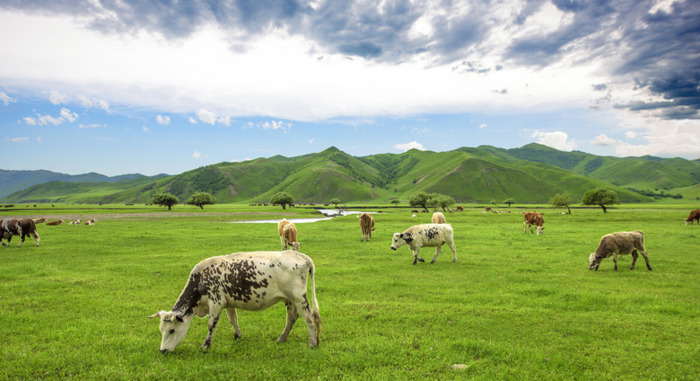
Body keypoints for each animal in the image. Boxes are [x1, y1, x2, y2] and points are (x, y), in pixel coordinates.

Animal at [150, 249, 322, 354]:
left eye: (171, 330)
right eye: (161, 330)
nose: (162, 351)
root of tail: (300, 256)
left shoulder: (216, 302)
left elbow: (211, 324)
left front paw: (205, 345)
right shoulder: (228, 303)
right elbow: (233, 319)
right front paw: (237, 336)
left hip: (299, 298)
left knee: (310, 319)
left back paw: (313, 344)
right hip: (289, 299)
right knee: (292, 318)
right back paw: (282, 338)